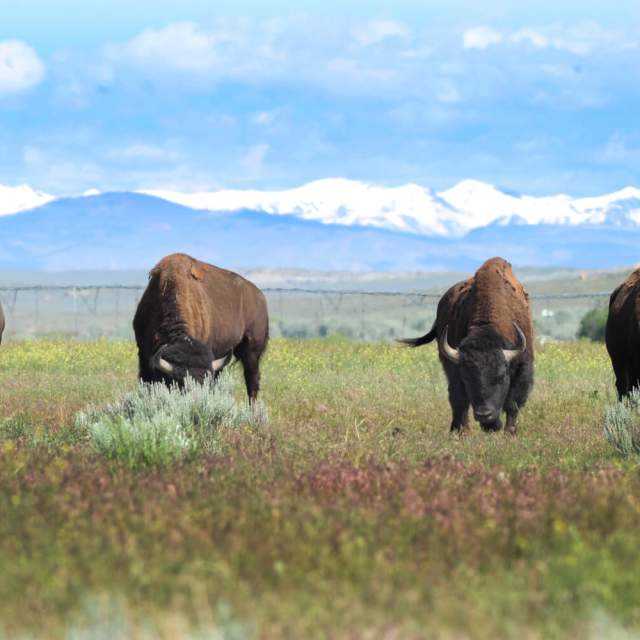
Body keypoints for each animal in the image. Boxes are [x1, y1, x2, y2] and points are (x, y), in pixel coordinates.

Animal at [133, 253, 269, 401]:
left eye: (205, 384)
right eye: (181, 384)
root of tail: (260, 297)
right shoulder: (143, 355)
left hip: (252, 351)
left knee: (252, 381)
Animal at [400, 257, 534, 434]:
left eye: (500, 376)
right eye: (468, 378)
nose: (484, 415)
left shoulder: (522, 366)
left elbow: (513, 403)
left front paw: (509, 432)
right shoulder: (456, 369)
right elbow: (460, 400)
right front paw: (463, 432)